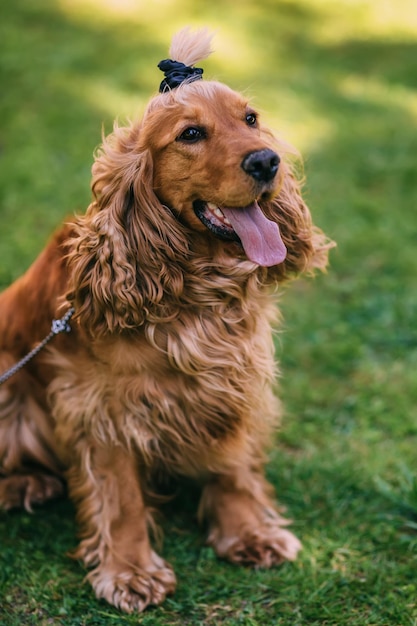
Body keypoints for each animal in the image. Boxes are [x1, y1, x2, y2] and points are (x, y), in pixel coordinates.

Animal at [0, 28, 334, 608]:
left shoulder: (234, 379)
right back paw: (25, 482)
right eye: (191, 134)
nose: (267, 162)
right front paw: (130, 570)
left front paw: (249, 533)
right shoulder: (100, 404)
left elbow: (234, 465)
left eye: (251, 119)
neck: (197, 291)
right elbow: (121, 498)